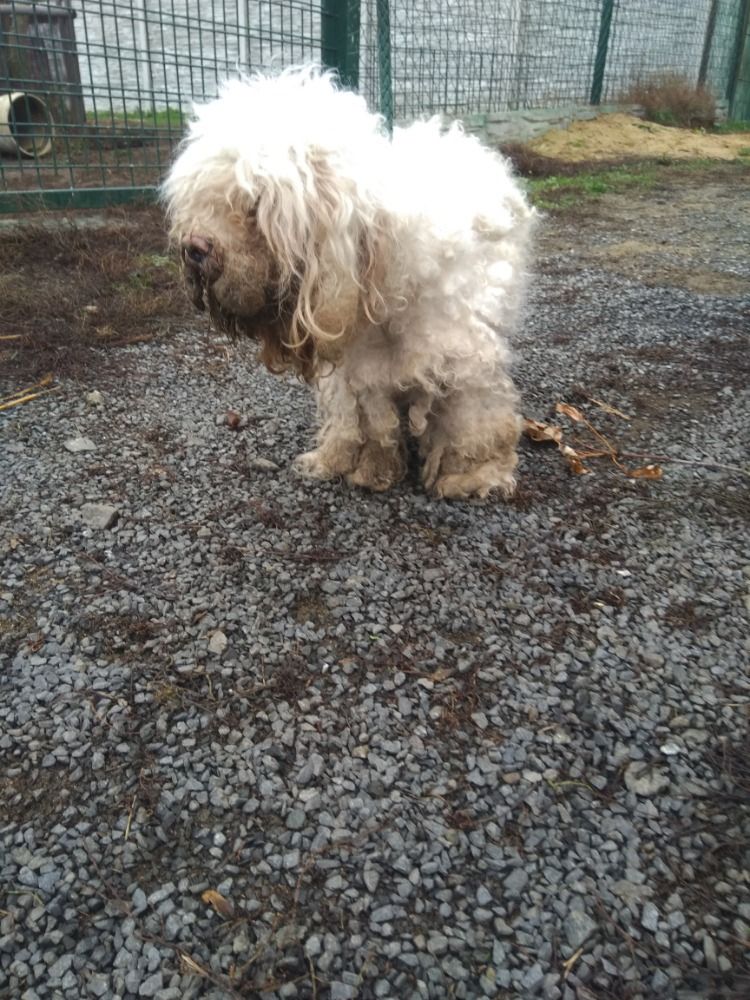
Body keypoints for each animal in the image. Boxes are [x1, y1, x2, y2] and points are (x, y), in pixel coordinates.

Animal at [167, 65, 536, 496]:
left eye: (255, 205)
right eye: (205, 199)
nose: (193, 247)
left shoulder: (462, 356)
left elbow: (471, 418)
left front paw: (470, 475)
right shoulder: (360, 368)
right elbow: (369, 422)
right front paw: (358, 467)